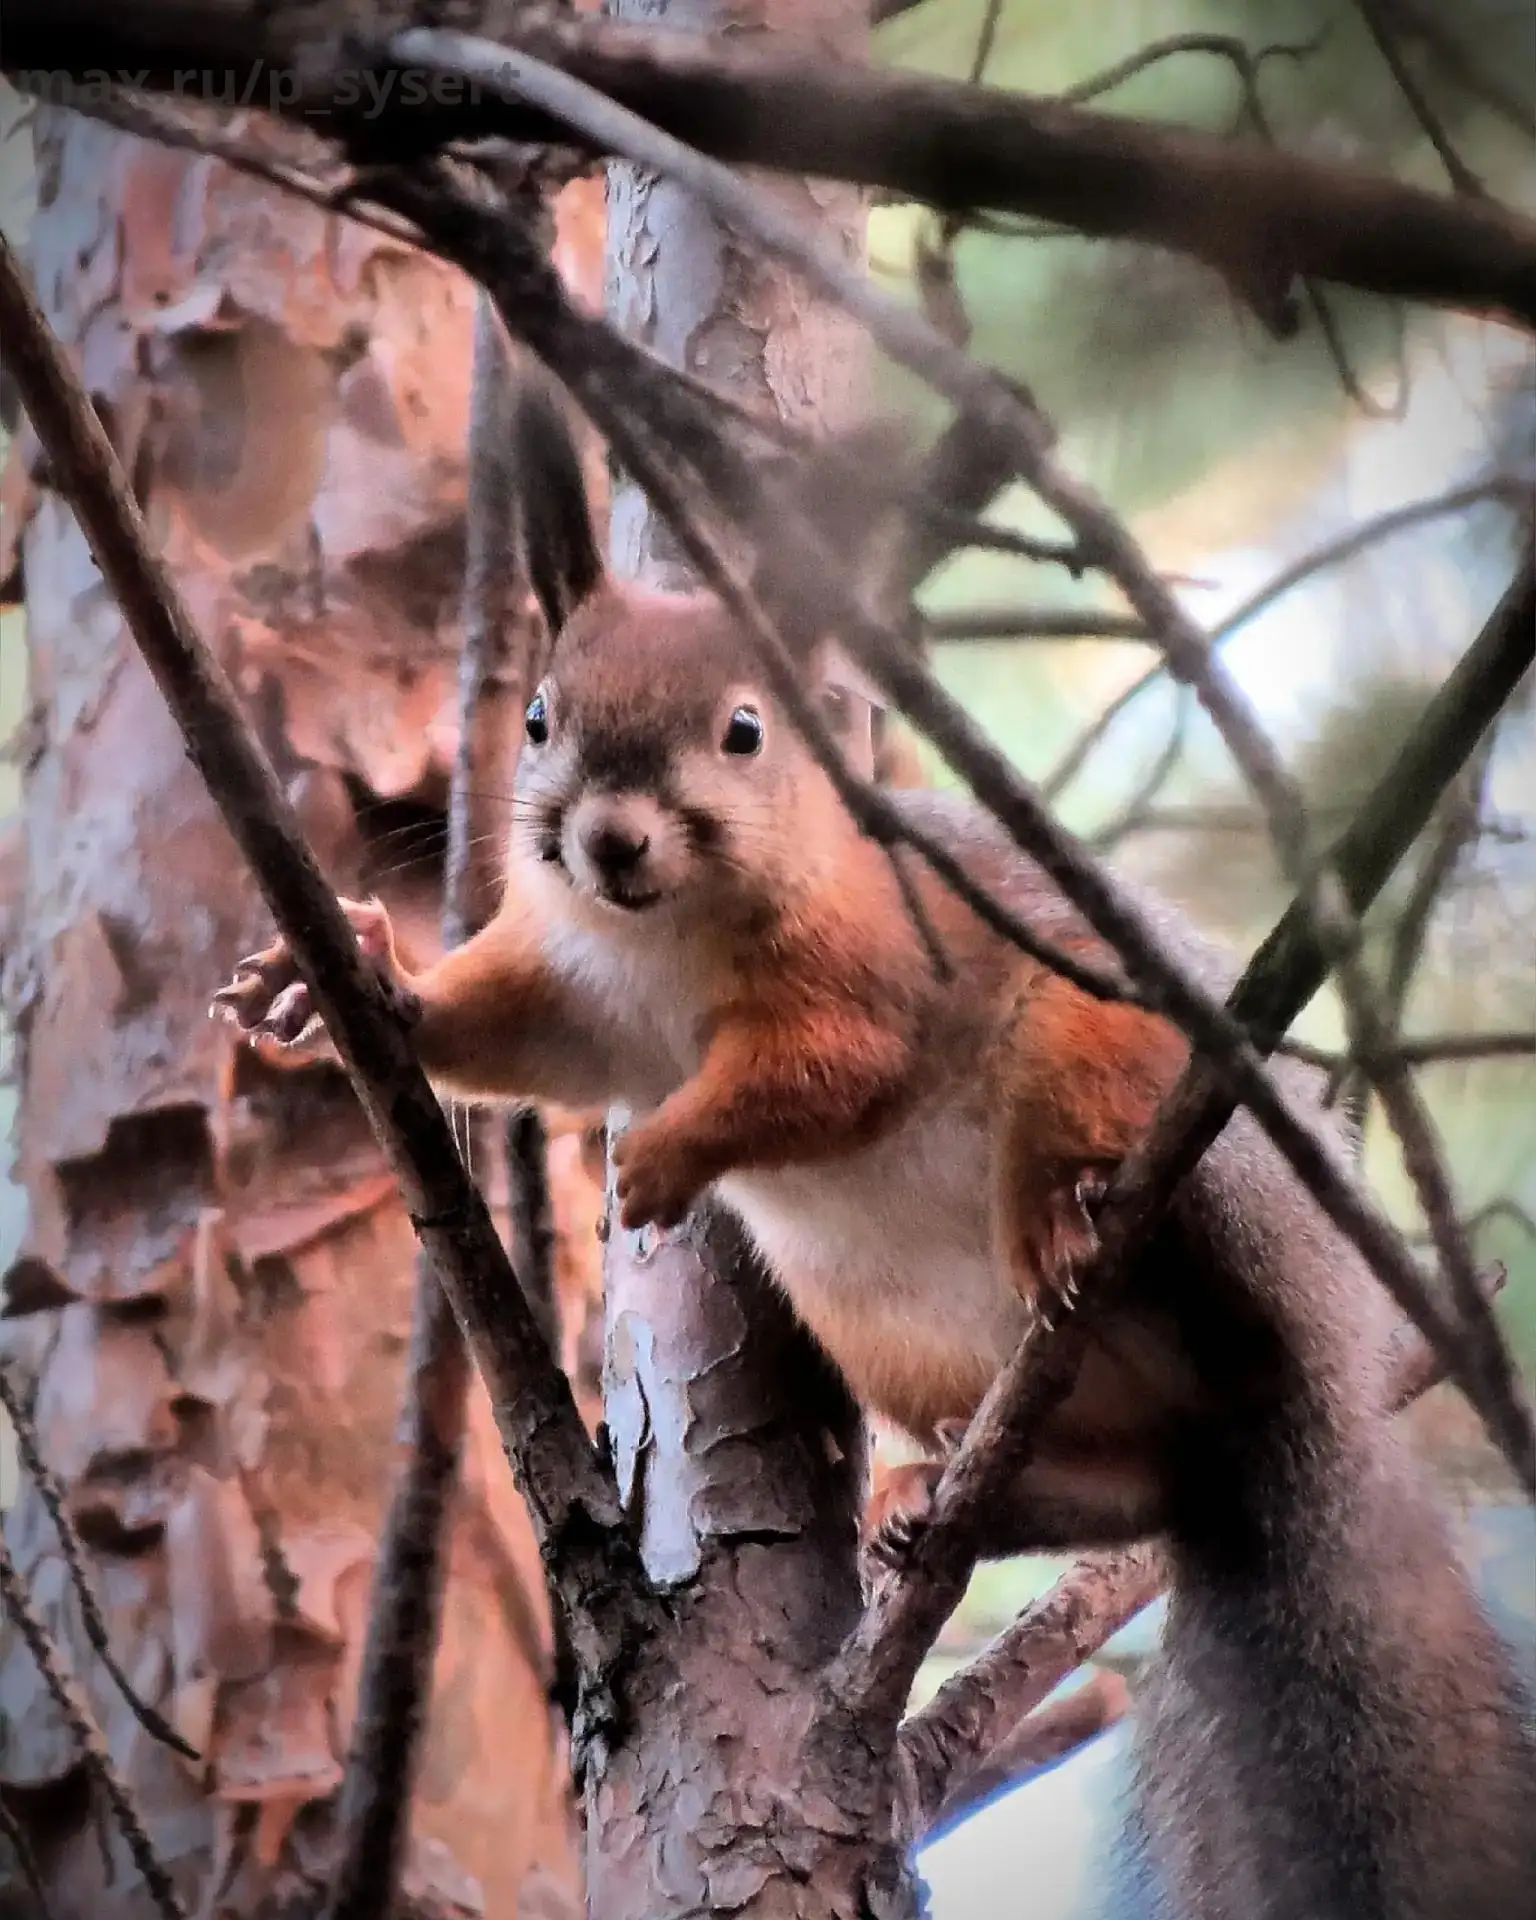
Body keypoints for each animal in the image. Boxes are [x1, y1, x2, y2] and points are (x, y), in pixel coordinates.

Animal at [213, 376, 1535, 1920]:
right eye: (537, 716)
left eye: (744, 730)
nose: (609, 840)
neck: (662, 938)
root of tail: (1278, 1425)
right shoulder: (579, 993)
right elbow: (512, 1034)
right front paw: (357, 977)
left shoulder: (872, 981)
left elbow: (821, 1079)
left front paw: (665, 1161)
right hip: (897, 1335)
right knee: (1111, 1483)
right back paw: (928, 1498)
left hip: (1142, 1098)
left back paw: (1067, 1222)